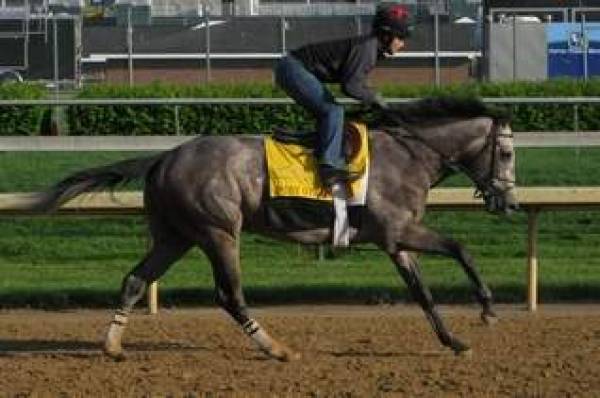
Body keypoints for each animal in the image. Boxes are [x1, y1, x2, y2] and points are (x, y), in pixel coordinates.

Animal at [28, 96, 516, 360]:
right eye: (508, 154)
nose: (509, 203)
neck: (409, 155)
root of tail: (163, 157)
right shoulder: (396, 231)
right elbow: (462, 248)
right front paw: (488, 310)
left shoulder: (395, 240)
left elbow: (423, 293)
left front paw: (454, 341)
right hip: (219, 231)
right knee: (229, 295)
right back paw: (276, 349)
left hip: (175, 235)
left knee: (134, 279)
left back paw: (112, 346)